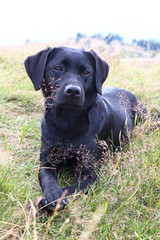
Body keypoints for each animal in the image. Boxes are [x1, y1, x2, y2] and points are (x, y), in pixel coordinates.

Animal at [24, 46, 143, 213]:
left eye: (86, 72)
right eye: (58, 68)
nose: (73, 91)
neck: (67, 121)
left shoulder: (89, 173)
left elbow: (69, 188)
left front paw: (49, 202)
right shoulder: (47, 161)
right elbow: (48, 179)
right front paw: (51, 195)